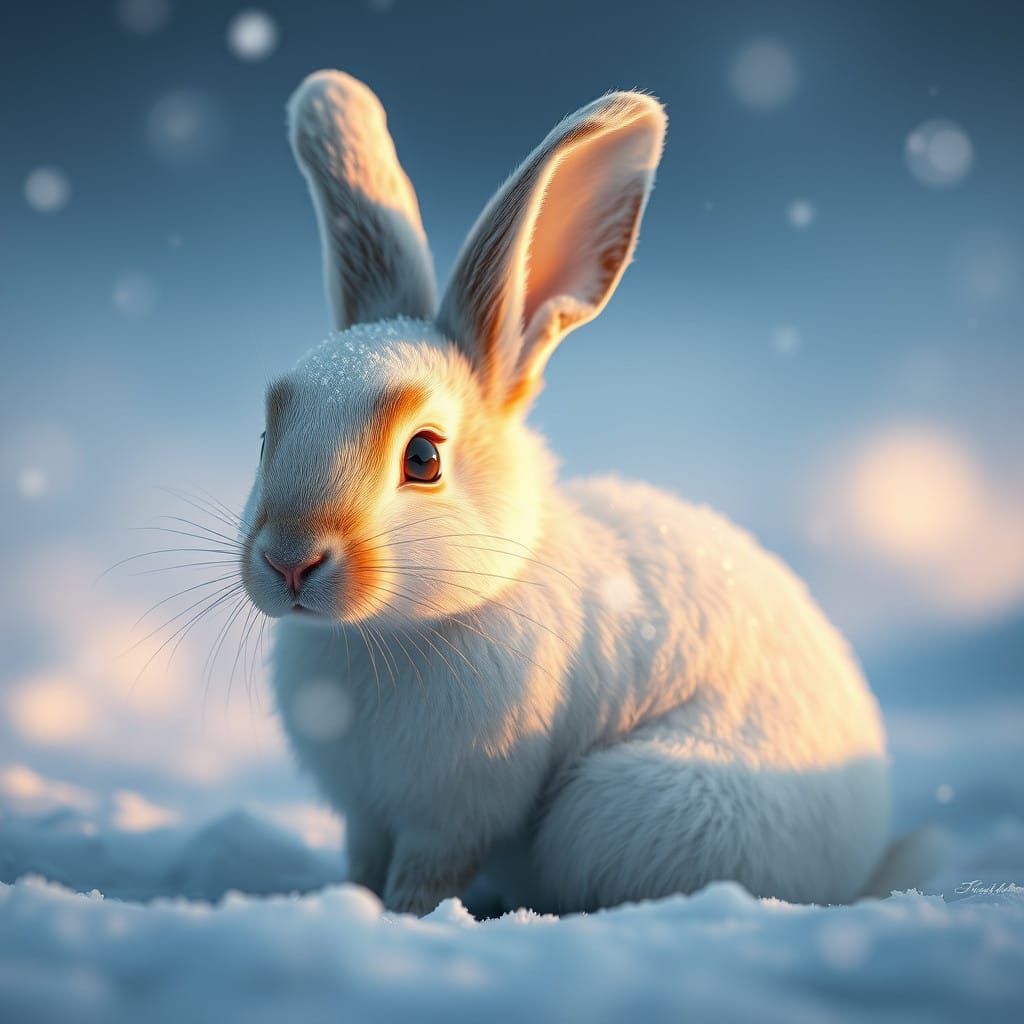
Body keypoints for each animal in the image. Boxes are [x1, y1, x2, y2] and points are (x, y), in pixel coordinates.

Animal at [239, 69, 940, 916]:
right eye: (266, 434)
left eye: (424, 458)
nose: (289, 561)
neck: (392, 630)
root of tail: (865, 852)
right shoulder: (365, 815)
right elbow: (363, 863)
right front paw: (350, 904)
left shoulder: (456, 811)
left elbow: (425, 874)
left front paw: (405, 919)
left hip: (620, 813)